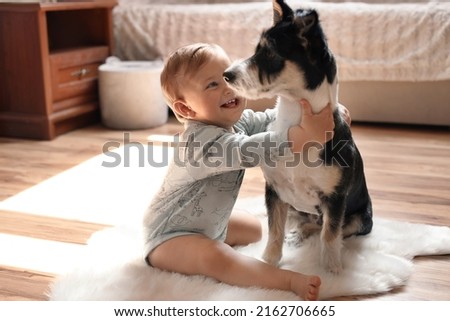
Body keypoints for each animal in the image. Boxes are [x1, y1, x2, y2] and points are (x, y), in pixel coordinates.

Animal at [225, 0, 372, 272]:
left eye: (270, 53)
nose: (226, 74)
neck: (296, 120)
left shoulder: (335, 199)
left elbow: (330, 234)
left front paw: (332, 270)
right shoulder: (274, 191)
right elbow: (274, 230)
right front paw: (268, 261)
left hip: (361, 219)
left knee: (329, 228)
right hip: (295, 207)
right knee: (304, 222)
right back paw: (296, 234)